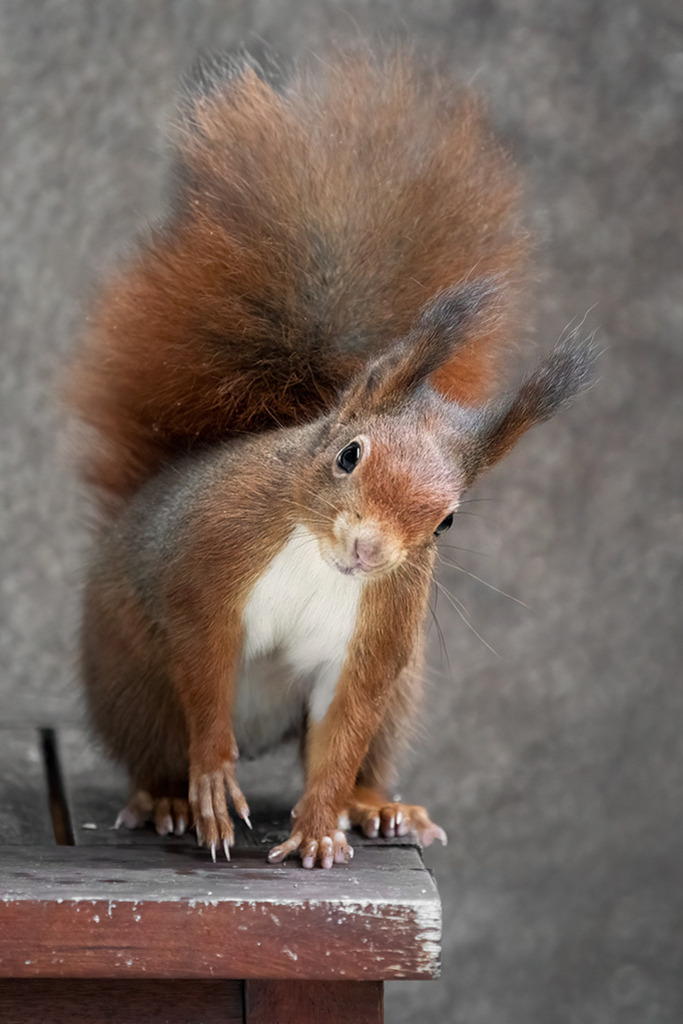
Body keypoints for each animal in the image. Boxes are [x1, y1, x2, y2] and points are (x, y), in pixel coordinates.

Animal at [67, 50, 593, 868]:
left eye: (446, 522)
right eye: (348, 455)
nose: (370, 549)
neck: (317, 557)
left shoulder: (376, 644)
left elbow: (342, 734)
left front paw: (318, 827)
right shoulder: (208, 567)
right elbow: (203, 666)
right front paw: (211, 782)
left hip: (403, 698)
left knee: (362, 758)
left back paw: (378, 808)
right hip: (134, 684)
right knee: (156, 745)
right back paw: (169, 799)